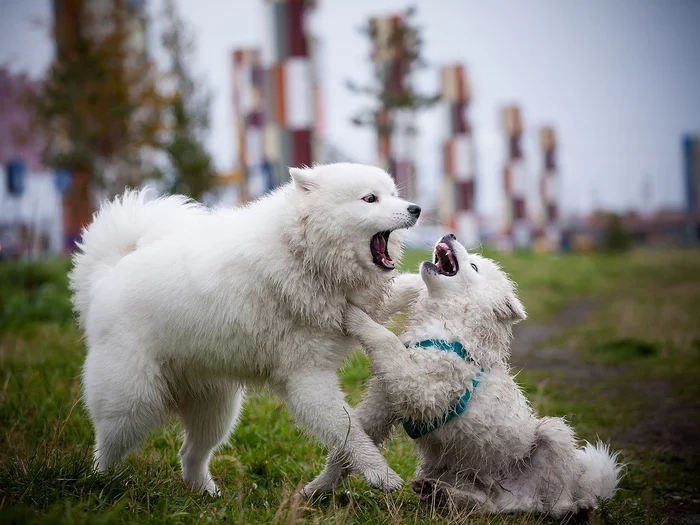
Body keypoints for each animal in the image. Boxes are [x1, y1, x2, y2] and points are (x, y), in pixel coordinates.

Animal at [71, 162, 424, 494]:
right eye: (370, 199)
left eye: (393, 193)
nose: (416, 208)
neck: (302, 251)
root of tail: (106, 274)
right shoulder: (307, 379)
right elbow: (349, 431)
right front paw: (381, 474)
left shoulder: (362, 311)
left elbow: (401, 290)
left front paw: (429, 279)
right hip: (131, 404)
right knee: (106, 449)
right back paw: (100, 484)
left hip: (216, 408)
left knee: (190, 454)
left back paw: (207, 494)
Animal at [308, 235, 620, 516]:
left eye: (474, 266)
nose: (450, 234)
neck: (447, 324)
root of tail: (515, 498)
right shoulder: (384, 403)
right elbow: (348, 446)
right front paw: (316, 490)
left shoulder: (423, 390)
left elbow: (386, 339)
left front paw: (354, 315)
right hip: (445, 467)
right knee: (483, 505)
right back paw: (441, 494)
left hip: (553, 434)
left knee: (554, 500)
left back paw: (575, 508)